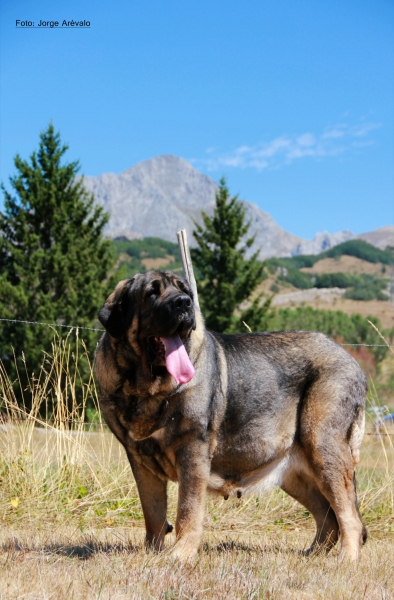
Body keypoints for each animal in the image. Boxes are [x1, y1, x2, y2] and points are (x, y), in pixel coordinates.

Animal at [94, 272, 366, 564]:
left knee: (348, 516)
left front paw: (181, 554)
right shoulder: (140, 459)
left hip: (324, 448)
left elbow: (187, 509)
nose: (184, 303)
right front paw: (151, 553)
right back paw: (311, 556)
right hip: (297, 474)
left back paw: (346, 560)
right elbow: (153, 513)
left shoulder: (193, 450)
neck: (148, 390)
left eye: (184, 290)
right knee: (328, 516)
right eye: (151, 293)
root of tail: (351, 360)